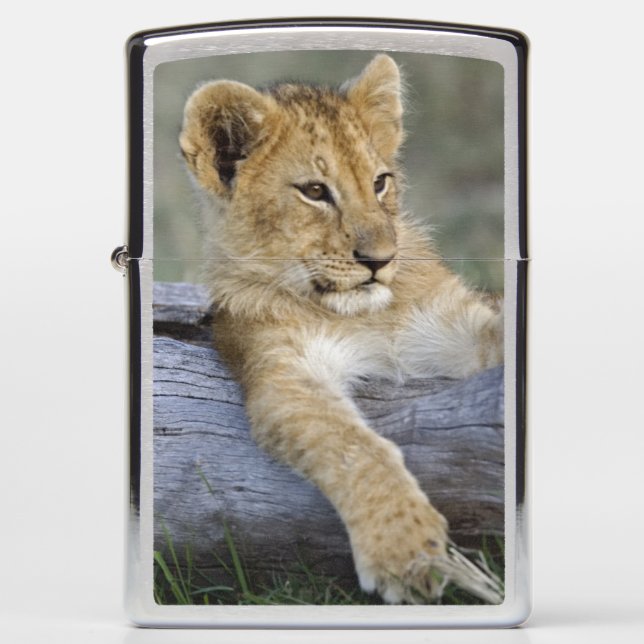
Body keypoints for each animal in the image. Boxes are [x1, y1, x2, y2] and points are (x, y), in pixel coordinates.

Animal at [178, 54, 504, 604]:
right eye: (315, 191)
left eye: (380, 183)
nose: (381, 260)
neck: (365, 314)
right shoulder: (283, 371)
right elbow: (354, 446)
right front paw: (405, 551)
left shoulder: (457, 322)